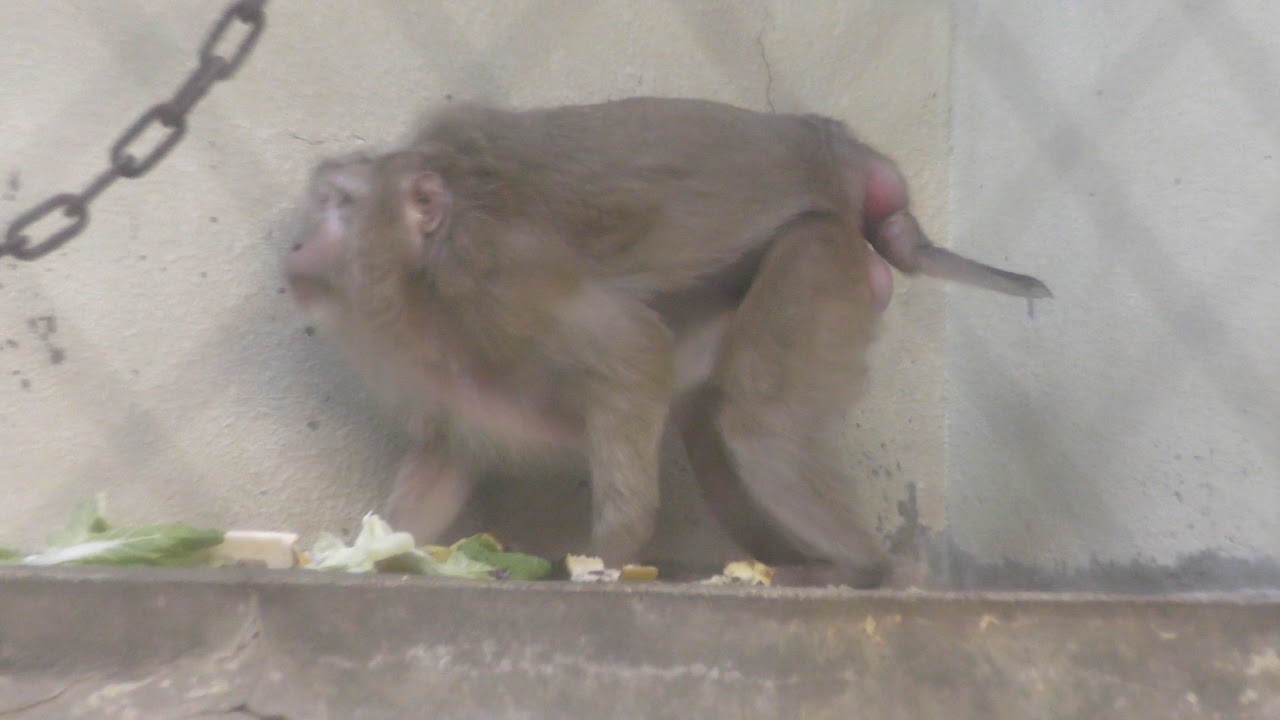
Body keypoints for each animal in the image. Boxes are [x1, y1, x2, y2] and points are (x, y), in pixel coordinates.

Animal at [284, 96, 1049, 586]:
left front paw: (610, 558)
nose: (294, 242)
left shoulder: (502, 274)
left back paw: (854, 571)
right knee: (716, 434)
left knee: (759, 423)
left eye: (339, 205)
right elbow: (450, 455)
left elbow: (630, 349)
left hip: (821, 261)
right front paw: (372, 553)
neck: (425, 278)